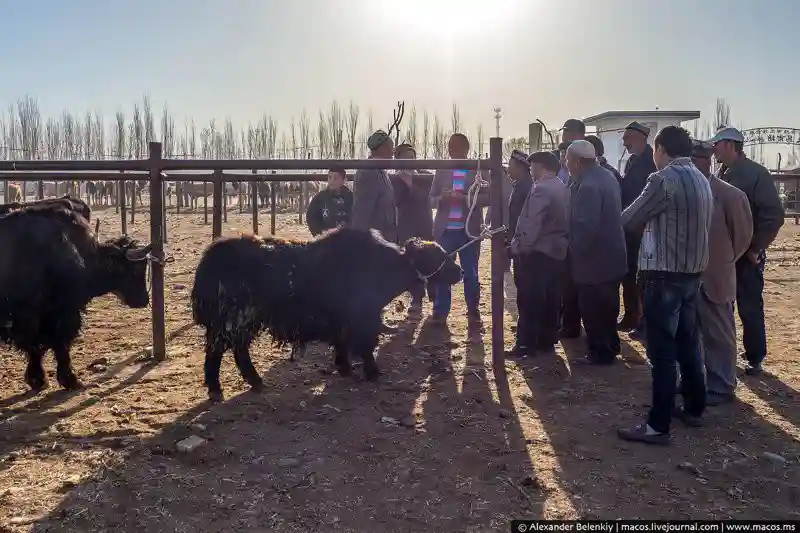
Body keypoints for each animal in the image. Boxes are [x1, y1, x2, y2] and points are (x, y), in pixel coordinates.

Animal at [0, 204, 152, 390]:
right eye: (134, 270)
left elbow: (39, 347)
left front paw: (38, 379)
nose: (144, 300)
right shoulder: (56, 314)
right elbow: (56, 345)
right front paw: (68, 380)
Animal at [191, 228, 462, 400]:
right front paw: (372, 373)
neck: (384, 267)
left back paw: (255, 383)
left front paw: (344, 368)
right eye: (436, 256)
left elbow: (344, 343)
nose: (458, 271)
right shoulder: (364, 318)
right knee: (219, 350)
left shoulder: (346, 322)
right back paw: (217, 390)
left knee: (237, 350)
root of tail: (212, 257)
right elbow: (365, 346)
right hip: (233, 319)